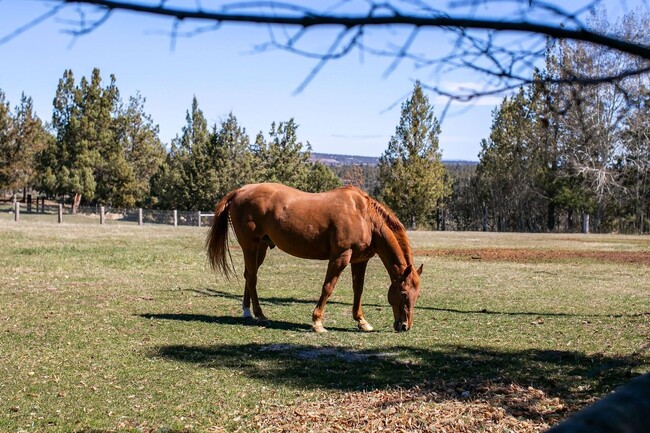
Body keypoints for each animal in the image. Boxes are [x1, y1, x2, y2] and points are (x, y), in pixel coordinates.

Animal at [205, 181, 422, 330]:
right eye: (403, 293)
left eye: (417, 295)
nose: (405, 326)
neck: (364, 216)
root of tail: (240, 191)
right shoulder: (340, 256)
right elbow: (328, 287)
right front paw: (317, 322)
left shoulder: (360, 261)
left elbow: (358, 290)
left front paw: (361, 321)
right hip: (250, 246)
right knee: (252, 278)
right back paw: (260, 314)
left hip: (261, 247)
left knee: (248, 275)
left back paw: (247, 311)